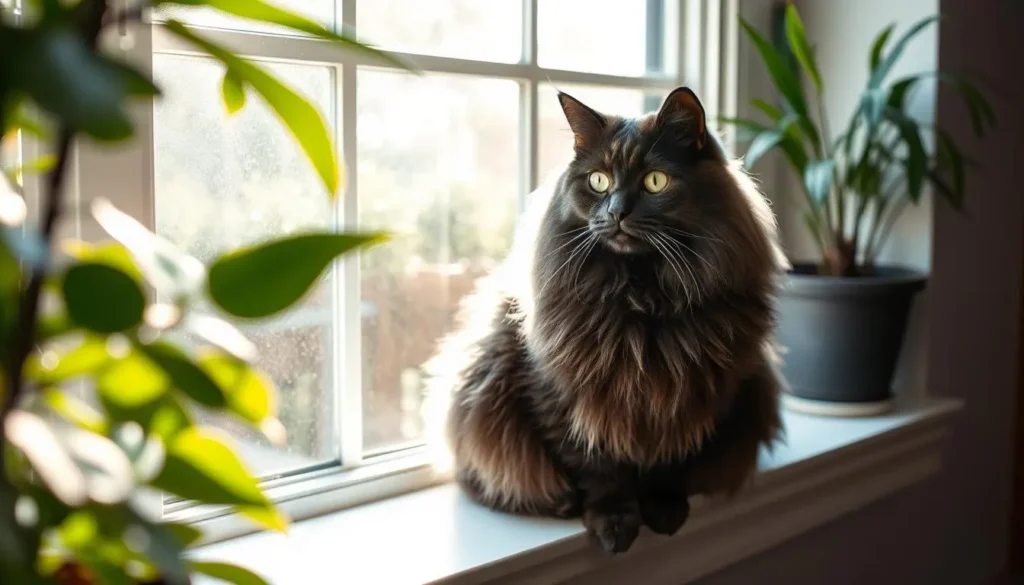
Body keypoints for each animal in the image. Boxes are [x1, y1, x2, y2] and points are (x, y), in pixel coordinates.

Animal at [419, 86, 786, 553]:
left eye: (655, 181)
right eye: (598, 181)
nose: (616, 212)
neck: (640, 299)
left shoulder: (690, 396)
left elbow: (668, 461)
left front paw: (664, 508)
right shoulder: (563, 394)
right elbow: (598, 468)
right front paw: (613, 521)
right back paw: (560, 503)